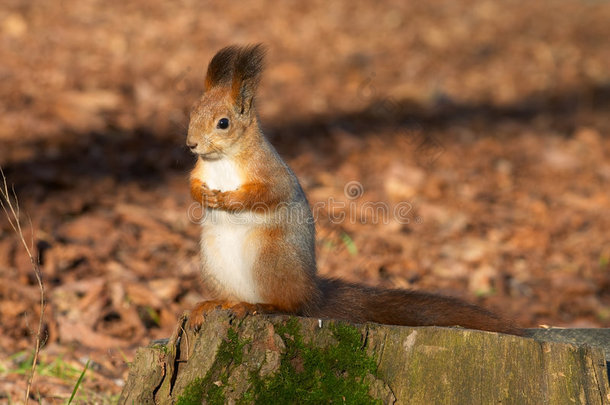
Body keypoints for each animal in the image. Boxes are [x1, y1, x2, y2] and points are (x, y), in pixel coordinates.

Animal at [184, 44, 516, 334]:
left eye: (223, 123)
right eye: (192, 113)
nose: (191, 144)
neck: (223, 159)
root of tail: (312, 293)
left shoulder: (271, 172)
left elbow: (268, 194)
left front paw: (228, 199)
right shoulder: (200, 170)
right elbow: (192, 184)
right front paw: (203, 195)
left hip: (270, 258)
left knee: (289, 305)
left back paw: (257, 307)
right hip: (213, 260)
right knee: (235, 297)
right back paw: (214, 304)